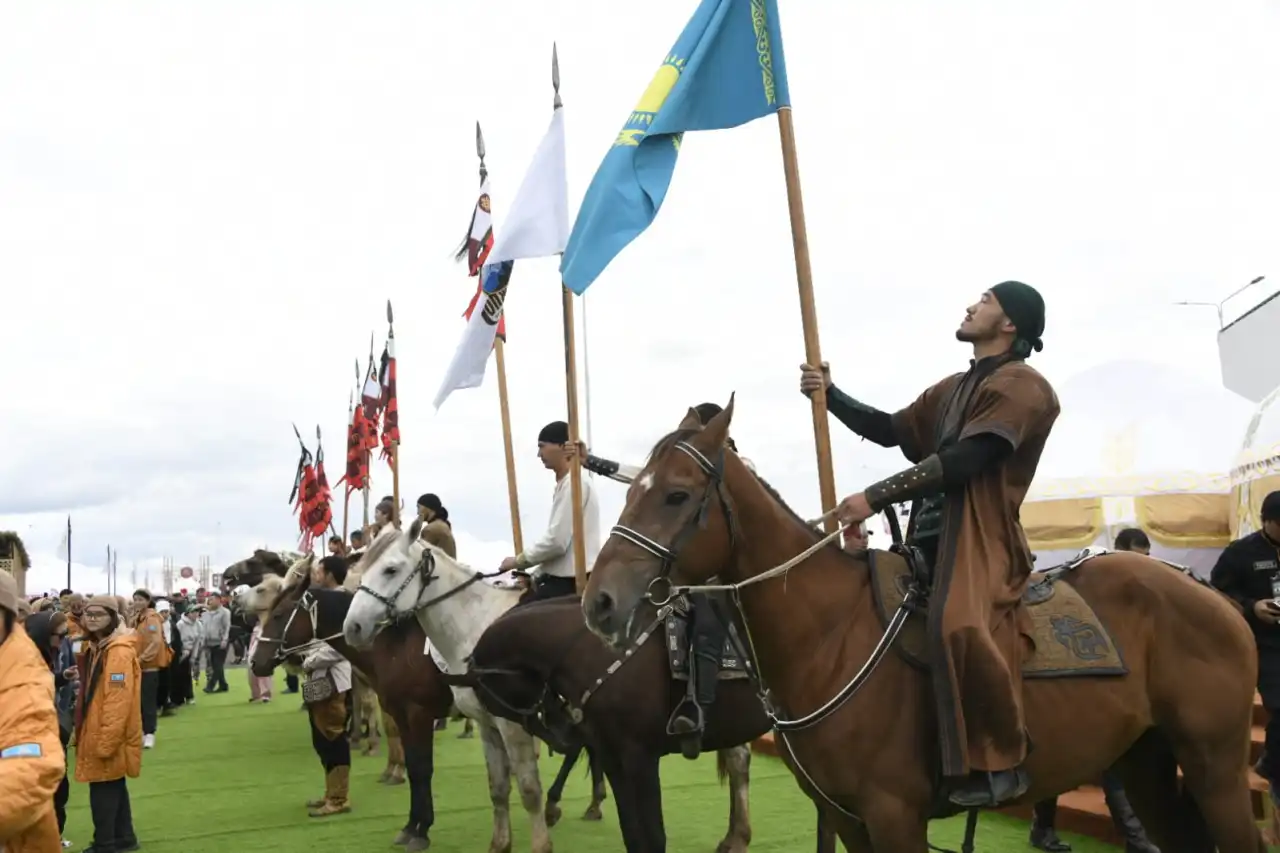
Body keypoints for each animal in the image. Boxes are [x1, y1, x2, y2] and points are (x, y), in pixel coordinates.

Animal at [247, 568, 453, 845]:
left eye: (279, 614)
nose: (255, 662)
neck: (397, 648)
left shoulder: (418, 715)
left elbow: (422, 768)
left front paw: (421, 832)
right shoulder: (402, 716)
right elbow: (413, 768)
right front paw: (412, 826)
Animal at [348, 517, 552, 850]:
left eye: (390, 570)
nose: (352, 627)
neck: (476, 627)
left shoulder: (511, 725)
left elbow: (529, 789)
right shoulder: (486, 724)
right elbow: (497, 787)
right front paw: (500, 844)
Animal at [586, 402, 1264, 850]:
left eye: (676, 495)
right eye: (630, 490)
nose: (599, 603)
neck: (829, 636)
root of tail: (1207, 593)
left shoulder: (894, 815)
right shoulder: (849, 819)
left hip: (1216, 765)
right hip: (1147, 761)